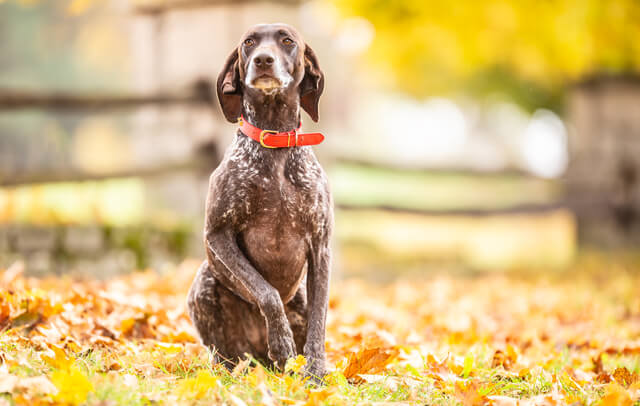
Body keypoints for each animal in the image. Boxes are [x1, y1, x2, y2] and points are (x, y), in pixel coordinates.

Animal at [185, 23, 332, 380]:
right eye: (249, 42)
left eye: (287, 41)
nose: (263, 60)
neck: (275, 142)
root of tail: (257, 360)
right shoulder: (218, 236)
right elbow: (266, 292)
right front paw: (280, 342)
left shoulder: (321, 247)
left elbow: (319, 317)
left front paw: (316, 370)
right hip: (205, 282)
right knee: (226, 355)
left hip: (300, 296)